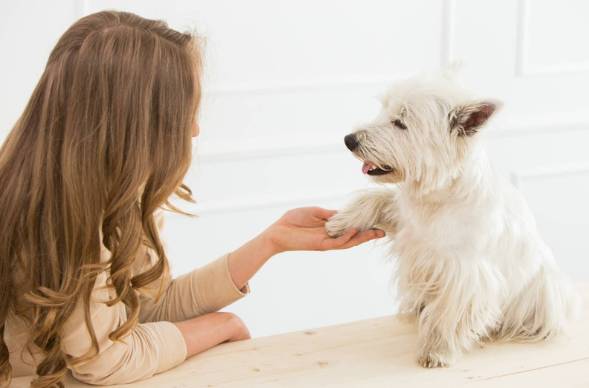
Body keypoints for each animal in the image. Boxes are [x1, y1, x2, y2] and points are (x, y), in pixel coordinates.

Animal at [326, 72, 580, 366]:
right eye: (384, 109)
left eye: (400, 122)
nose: (349, 140)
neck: (438, 197)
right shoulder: (405, 219)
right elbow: (376, 199)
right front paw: (339, 223)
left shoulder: (464, 271)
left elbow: (449, 312)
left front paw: (436, 350)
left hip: (545, 292)